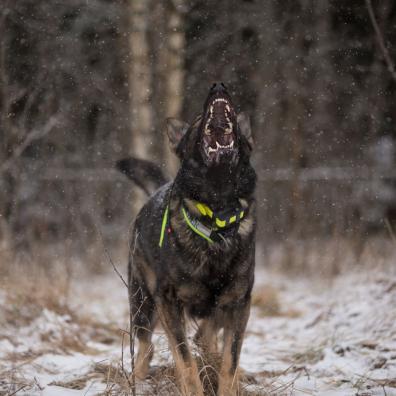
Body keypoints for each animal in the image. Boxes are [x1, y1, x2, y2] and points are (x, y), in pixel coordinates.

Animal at [117, 82, 256, 394]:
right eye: (197, 119)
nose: (218, 85)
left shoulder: (238, 303)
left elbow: (231, 360)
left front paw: (229, 383)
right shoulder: (169, 303)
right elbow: (185, 359)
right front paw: (194, 388)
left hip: (217, 307)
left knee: (205, 337)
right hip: (143, 303)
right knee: (146, 346)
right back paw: (138, 379)